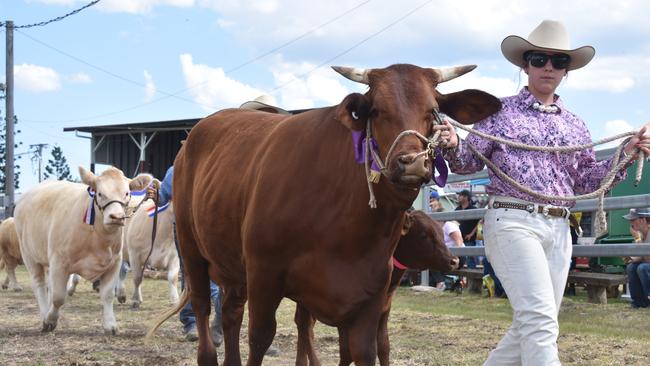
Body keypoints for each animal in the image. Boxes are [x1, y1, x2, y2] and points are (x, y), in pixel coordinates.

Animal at [14, 167, 151, 334]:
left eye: (127, 193)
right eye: (100, 193)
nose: (116, 217)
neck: (96, 237)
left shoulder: (114, 263)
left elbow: (108, 294)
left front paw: (110, 324)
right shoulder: (59, 262)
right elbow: (59, 297)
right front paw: (50, 320)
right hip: (29, 255)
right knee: (39, 285)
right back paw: (44, 313)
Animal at [294, 209, 456, 366]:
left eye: (441, 233)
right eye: (424, 234)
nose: (454, 261)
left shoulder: (383, 311)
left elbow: (384, 346)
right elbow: (347, 351)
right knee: (305, 327)